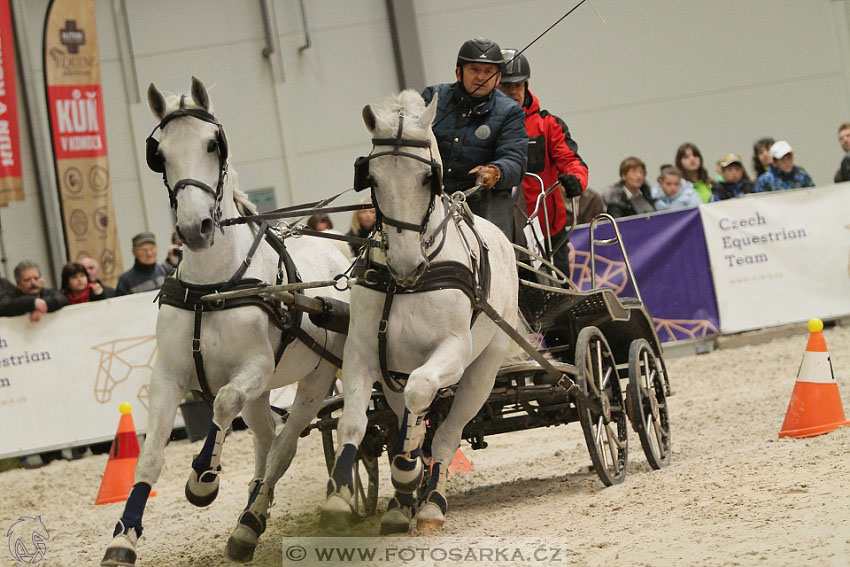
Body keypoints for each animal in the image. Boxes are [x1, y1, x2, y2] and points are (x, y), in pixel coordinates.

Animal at [101, 76, 350, 567]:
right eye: (159, 154)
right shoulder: (167, 376)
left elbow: (221, 405)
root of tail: (338, 254)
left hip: (315, 378)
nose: (193, 229)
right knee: (265, 437)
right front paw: (123, 538)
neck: (214, 288)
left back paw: (251, 520)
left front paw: (203, 480)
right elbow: (150, 457)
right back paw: (252, 514)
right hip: (267, 389)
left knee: (283, 446)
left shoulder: (253, 368)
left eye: (213, 144)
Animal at [320, 91, 512, 536]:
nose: (406, 264)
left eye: (429, 178)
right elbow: (353, 423)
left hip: (482, 372)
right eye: (372, 179)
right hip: (393, 372)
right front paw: (340, 495)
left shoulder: (453, 351)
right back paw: (400, 503)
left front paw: (408, 472)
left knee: (445, 434)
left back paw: (430, 501)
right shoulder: (362, 352)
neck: (407, 284)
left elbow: (422, 393)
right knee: (407, 414)